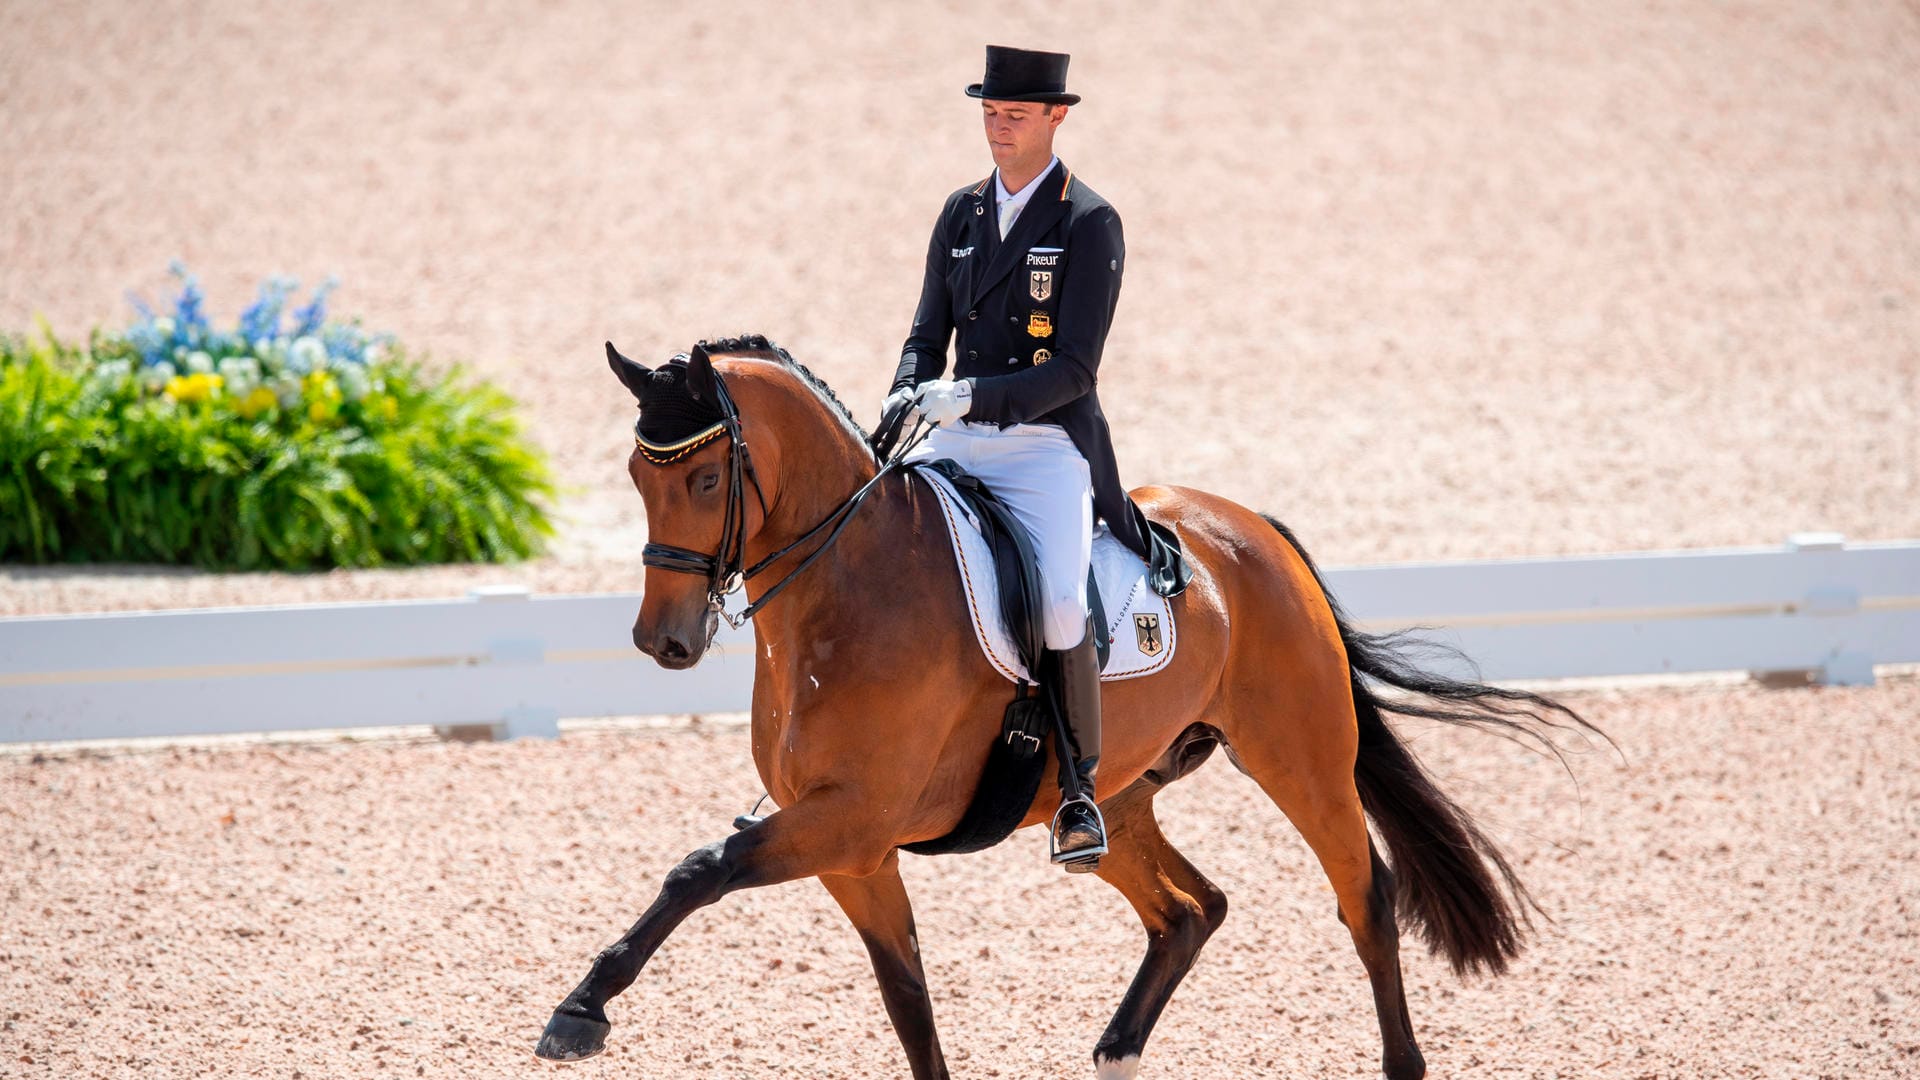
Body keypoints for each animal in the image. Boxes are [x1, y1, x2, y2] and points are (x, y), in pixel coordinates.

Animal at [533, 332, 1597, 1068]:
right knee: (1189, 908)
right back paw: (1116, 1052)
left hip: (1299, 758)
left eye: (710, 476)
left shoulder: (848, 820)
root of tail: (1251, 528)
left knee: (1364, 896)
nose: (662, 641)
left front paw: (580, 1012)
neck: (847, 589)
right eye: (636, 476)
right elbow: (907, 1000)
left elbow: (697, 870)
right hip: (1113, 795)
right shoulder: (854, 851)